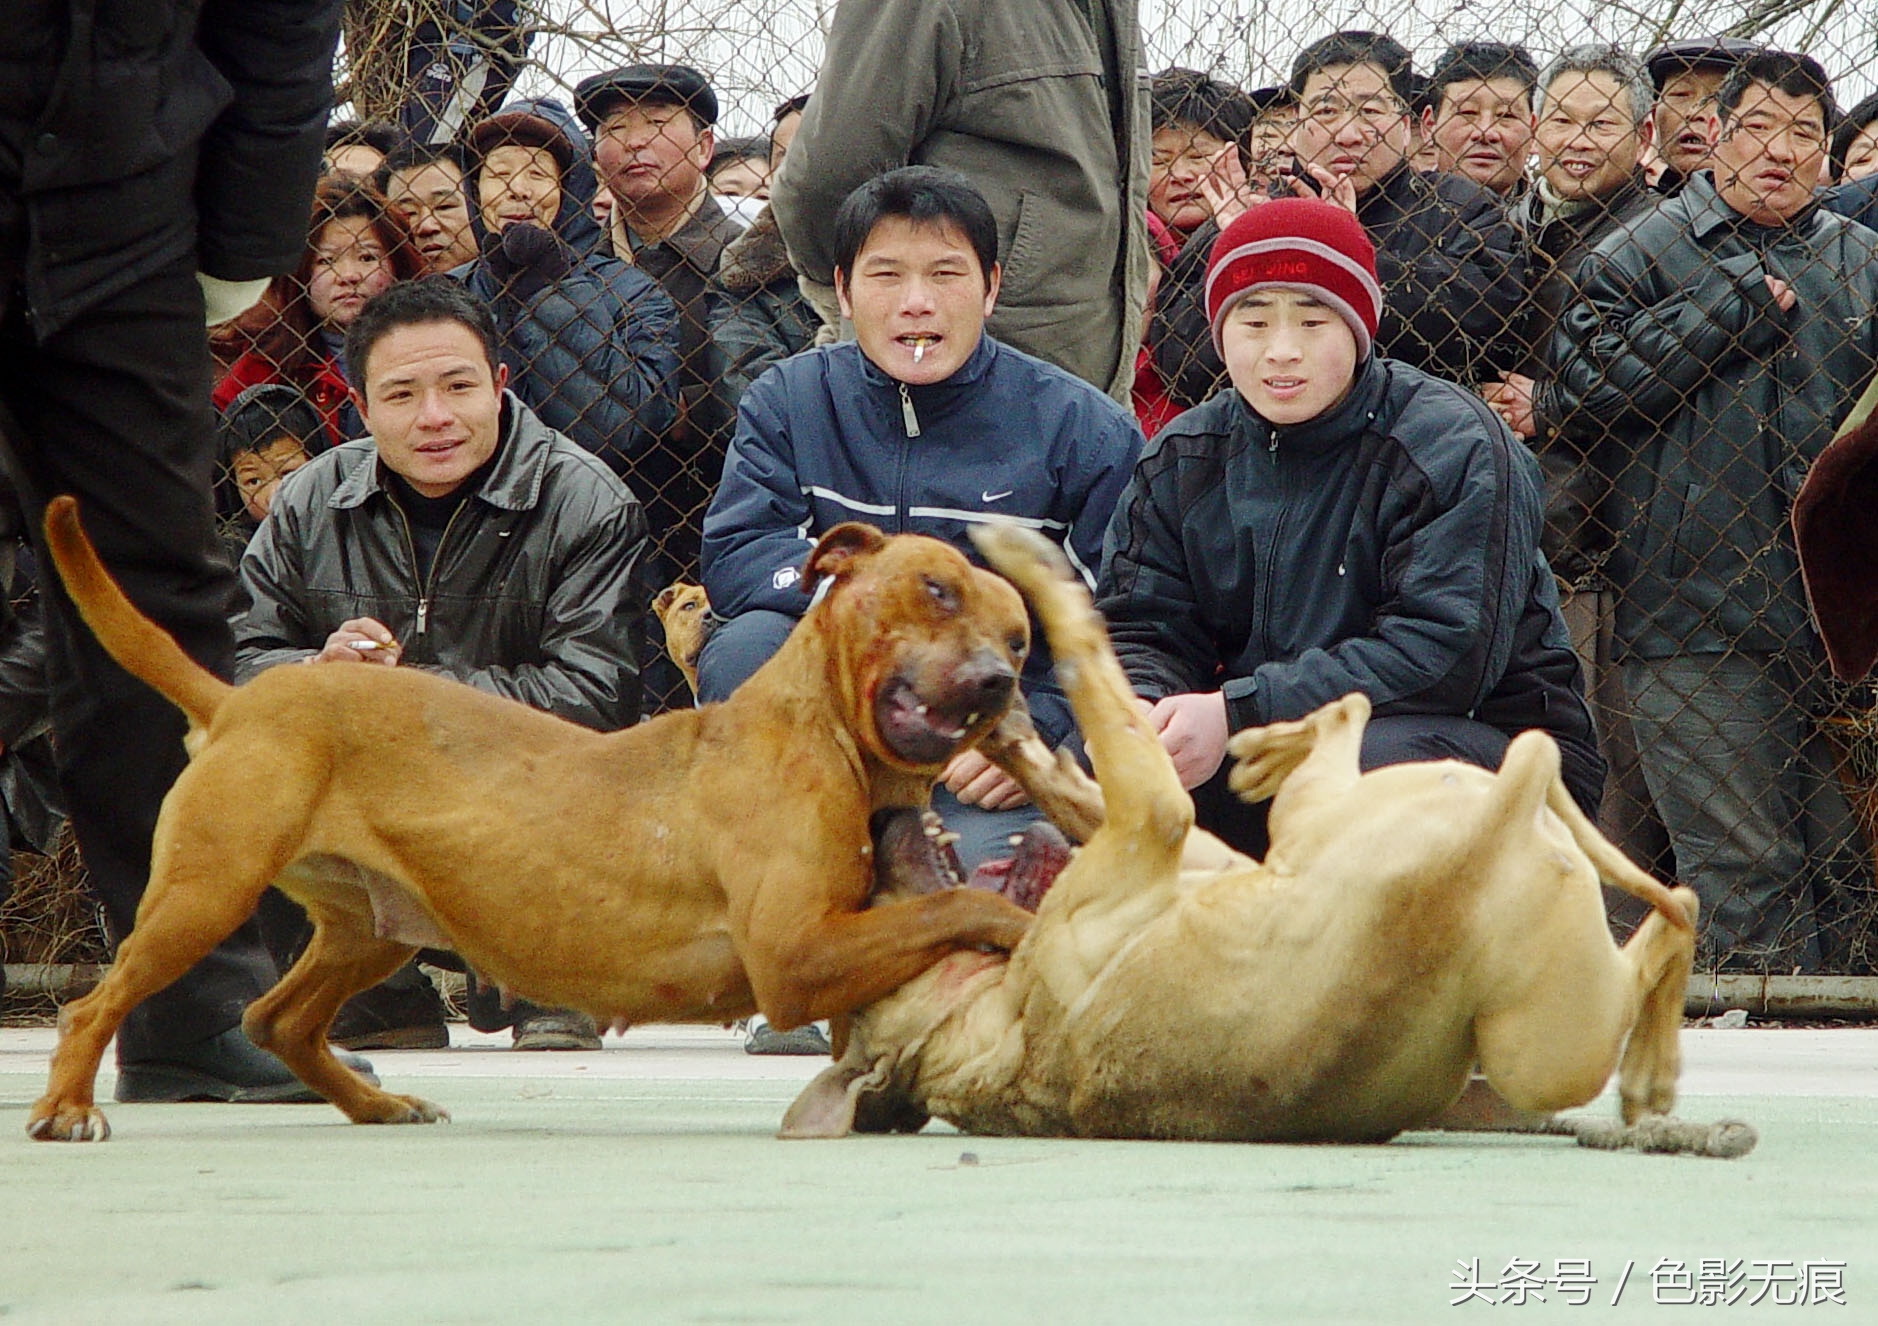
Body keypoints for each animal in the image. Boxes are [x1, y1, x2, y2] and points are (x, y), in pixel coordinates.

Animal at [25, 499, 1029, 1141]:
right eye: (936, 589)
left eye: (1021, 635)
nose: (1000, 683)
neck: (819, 724)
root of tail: (241, 701)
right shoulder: (795, 953)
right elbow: (963, 906)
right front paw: (1027, 927)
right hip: (206, 891)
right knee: (94, 1004)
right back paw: (68, 1109)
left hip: (372, 928)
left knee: (278, 1021)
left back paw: (377, 1107)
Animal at [781, 525, 1742, 1149]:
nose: (881, 820)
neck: (975, 1017)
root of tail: (1485, 833)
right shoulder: (1160, 821)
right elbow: (1099, 687)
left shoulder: (1178, 842)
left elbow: (1075, 761)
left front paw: (1009, 730)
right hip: (1536, 1042)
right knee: (1671, 905)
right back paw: (1651, 1069)